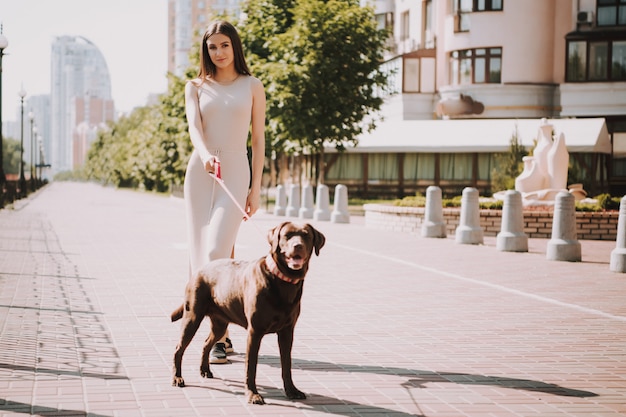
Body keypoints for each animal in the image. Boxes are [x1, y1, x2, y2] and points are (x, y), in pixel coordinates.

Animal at [172, 221, 326, 404]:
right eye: (287, 235)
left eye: (306, 235)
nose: (298, 246)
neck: (283, 281)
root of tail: (200, 269)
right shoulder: (255, 332)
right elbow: (251, 366)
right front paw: (253, 394)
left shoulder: (287, 332)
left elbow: (287, 364)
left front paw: (291, 390)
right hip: (192, 317)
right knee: (178, 348)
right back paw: (177, 378)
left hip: (220, 324)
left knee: (206, 343)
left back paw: (205, 370)